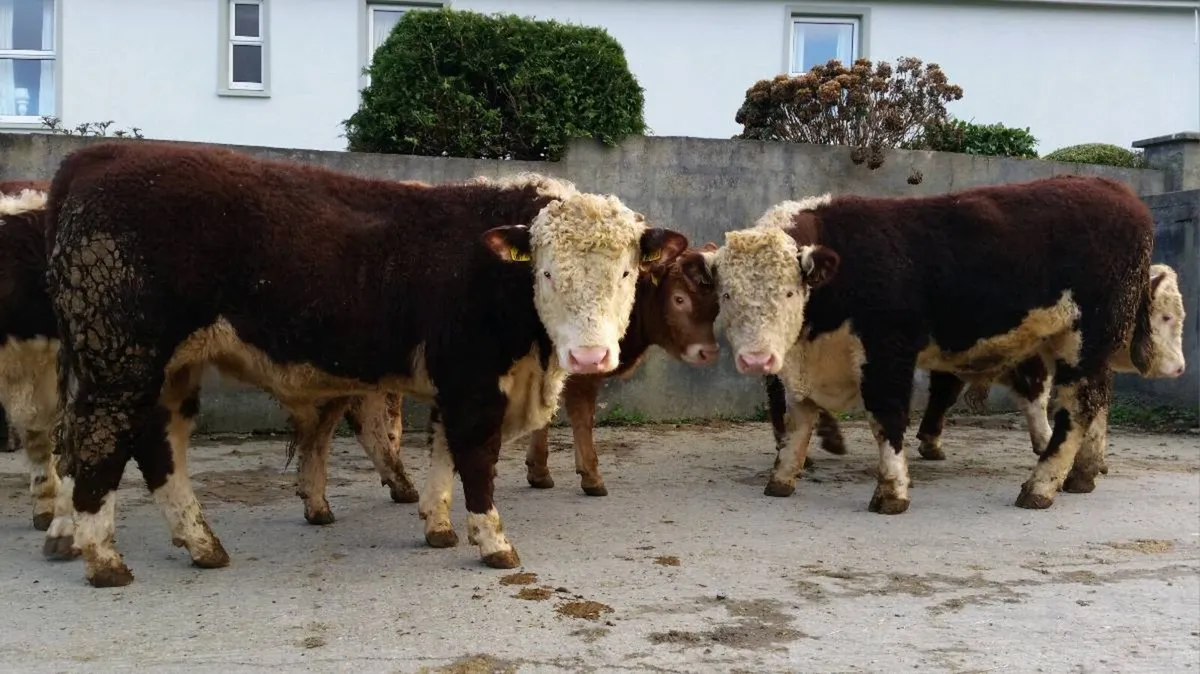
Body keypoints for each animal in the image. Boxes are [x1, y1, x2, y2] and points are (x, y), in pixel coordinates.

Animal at [42, 140, 690, 588]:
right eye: (548, 273)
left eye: (627, 273)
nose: (590, 355)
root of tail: (97, 158)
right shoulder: (474, 383)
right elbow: (475, 460)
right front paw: (491, 540)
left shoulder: (454, 384)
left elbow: (441, 452)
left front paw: (437, 524)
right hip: (119, 363)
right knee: (100, 444)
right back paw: (104, 557)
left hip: (166, 370)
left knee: (161, 447)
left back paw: (201, 543)